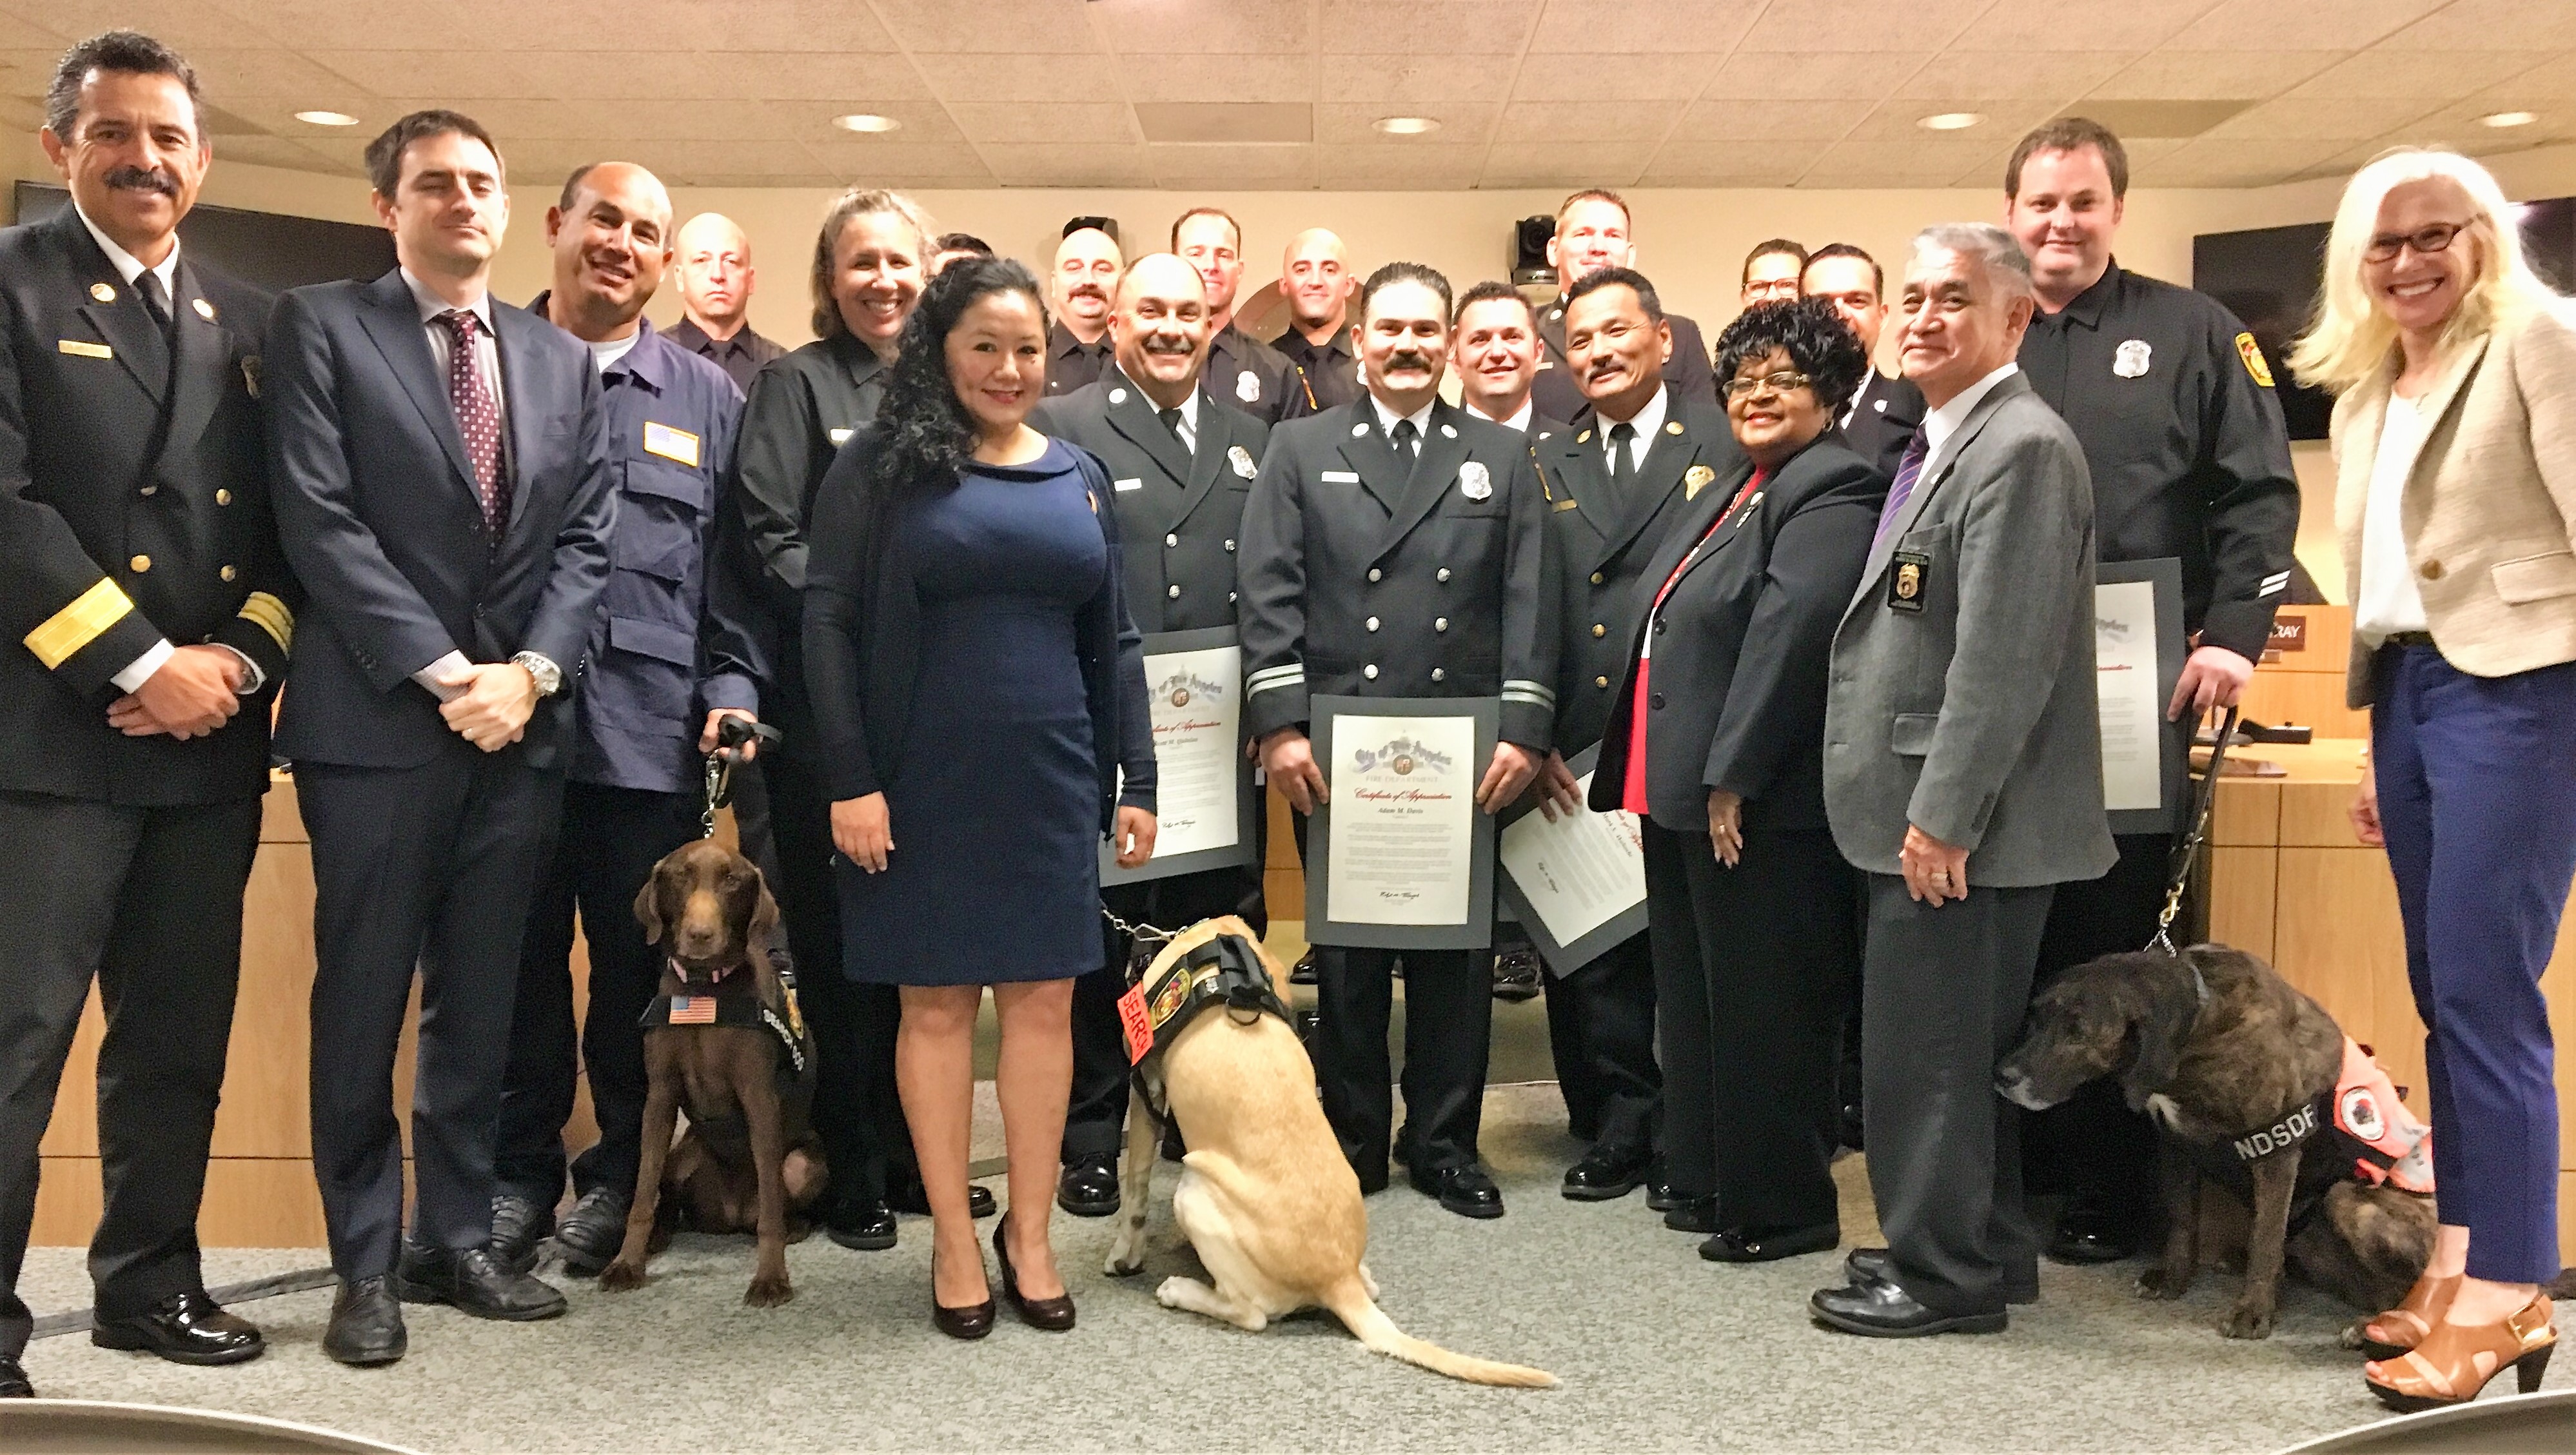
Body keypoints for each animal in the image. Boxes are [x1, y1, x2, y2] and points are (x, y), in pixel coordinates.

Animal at [595, 839, 819, 1303]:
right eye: (680, 876)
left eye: (731, 880)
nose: (700, 935)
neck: (703, 989)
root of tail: (730, 1215)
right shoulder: (659, 1096)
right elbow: (642, 1192)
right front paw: (627, 1263)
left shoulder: (759, 1097)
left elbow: (771, 1205)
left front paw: (771, 1277)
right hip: (682, 1156)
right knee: (667, 1199)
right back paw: (660, 1236)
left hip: (804, 1164)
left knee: (778, 1199)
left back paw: (793, 1228)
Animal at [1989, 942, 2432, 1339]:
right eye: (2035, 1018)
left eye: (2078, 1032)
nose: (2002, 1075)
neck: (2196, 1026)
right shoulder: (2176, 1147)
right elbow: (2183, 1221)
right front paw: (2173, 1278)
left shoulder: (2276, 1151)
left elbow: (2265, 1238)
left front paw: (2253, 1311)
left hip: (2345, 1197)